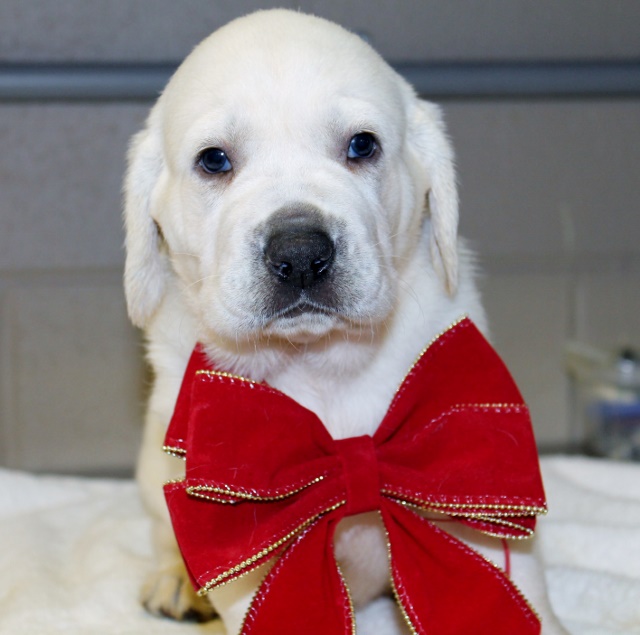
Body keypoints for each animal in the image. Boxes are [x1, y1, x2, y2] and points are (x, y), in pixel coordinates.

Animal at [122, 9, 568, 635]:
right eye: (213, 160)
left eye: (362, 145)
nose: (300, 252)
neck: (321, 365)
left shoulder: (478, 460)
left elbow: (512, 577)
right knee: (165, 534)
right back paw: (178, 582)